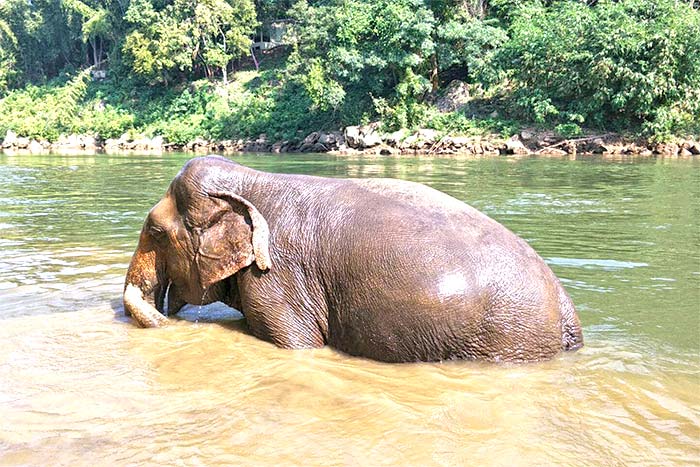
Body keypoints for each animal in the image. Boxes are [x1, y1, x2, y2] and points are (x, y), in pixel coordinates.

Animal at [123, 155, 584, 364]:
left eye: (156, 232)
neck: (251, 179)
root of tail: (567, 312)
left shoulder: (277, 281)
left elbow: (297, 345)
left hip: (505, 340)